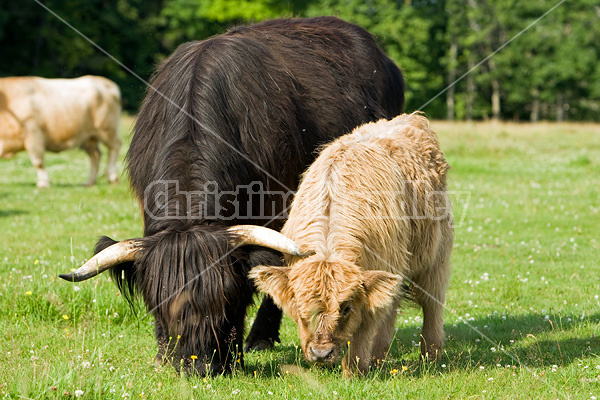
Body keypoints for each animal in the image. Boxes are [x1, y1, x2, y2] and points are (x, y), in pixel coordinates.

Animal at [247, 112, 450, 376]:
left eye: (345, 308)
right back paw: (379, 358)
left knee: (432, 301)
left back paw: (431, 356)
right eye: (301, 308)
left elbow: (366, 325)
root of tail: (412, 118)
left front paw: (354, 370)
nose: (321, 353)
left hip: (436, 255)